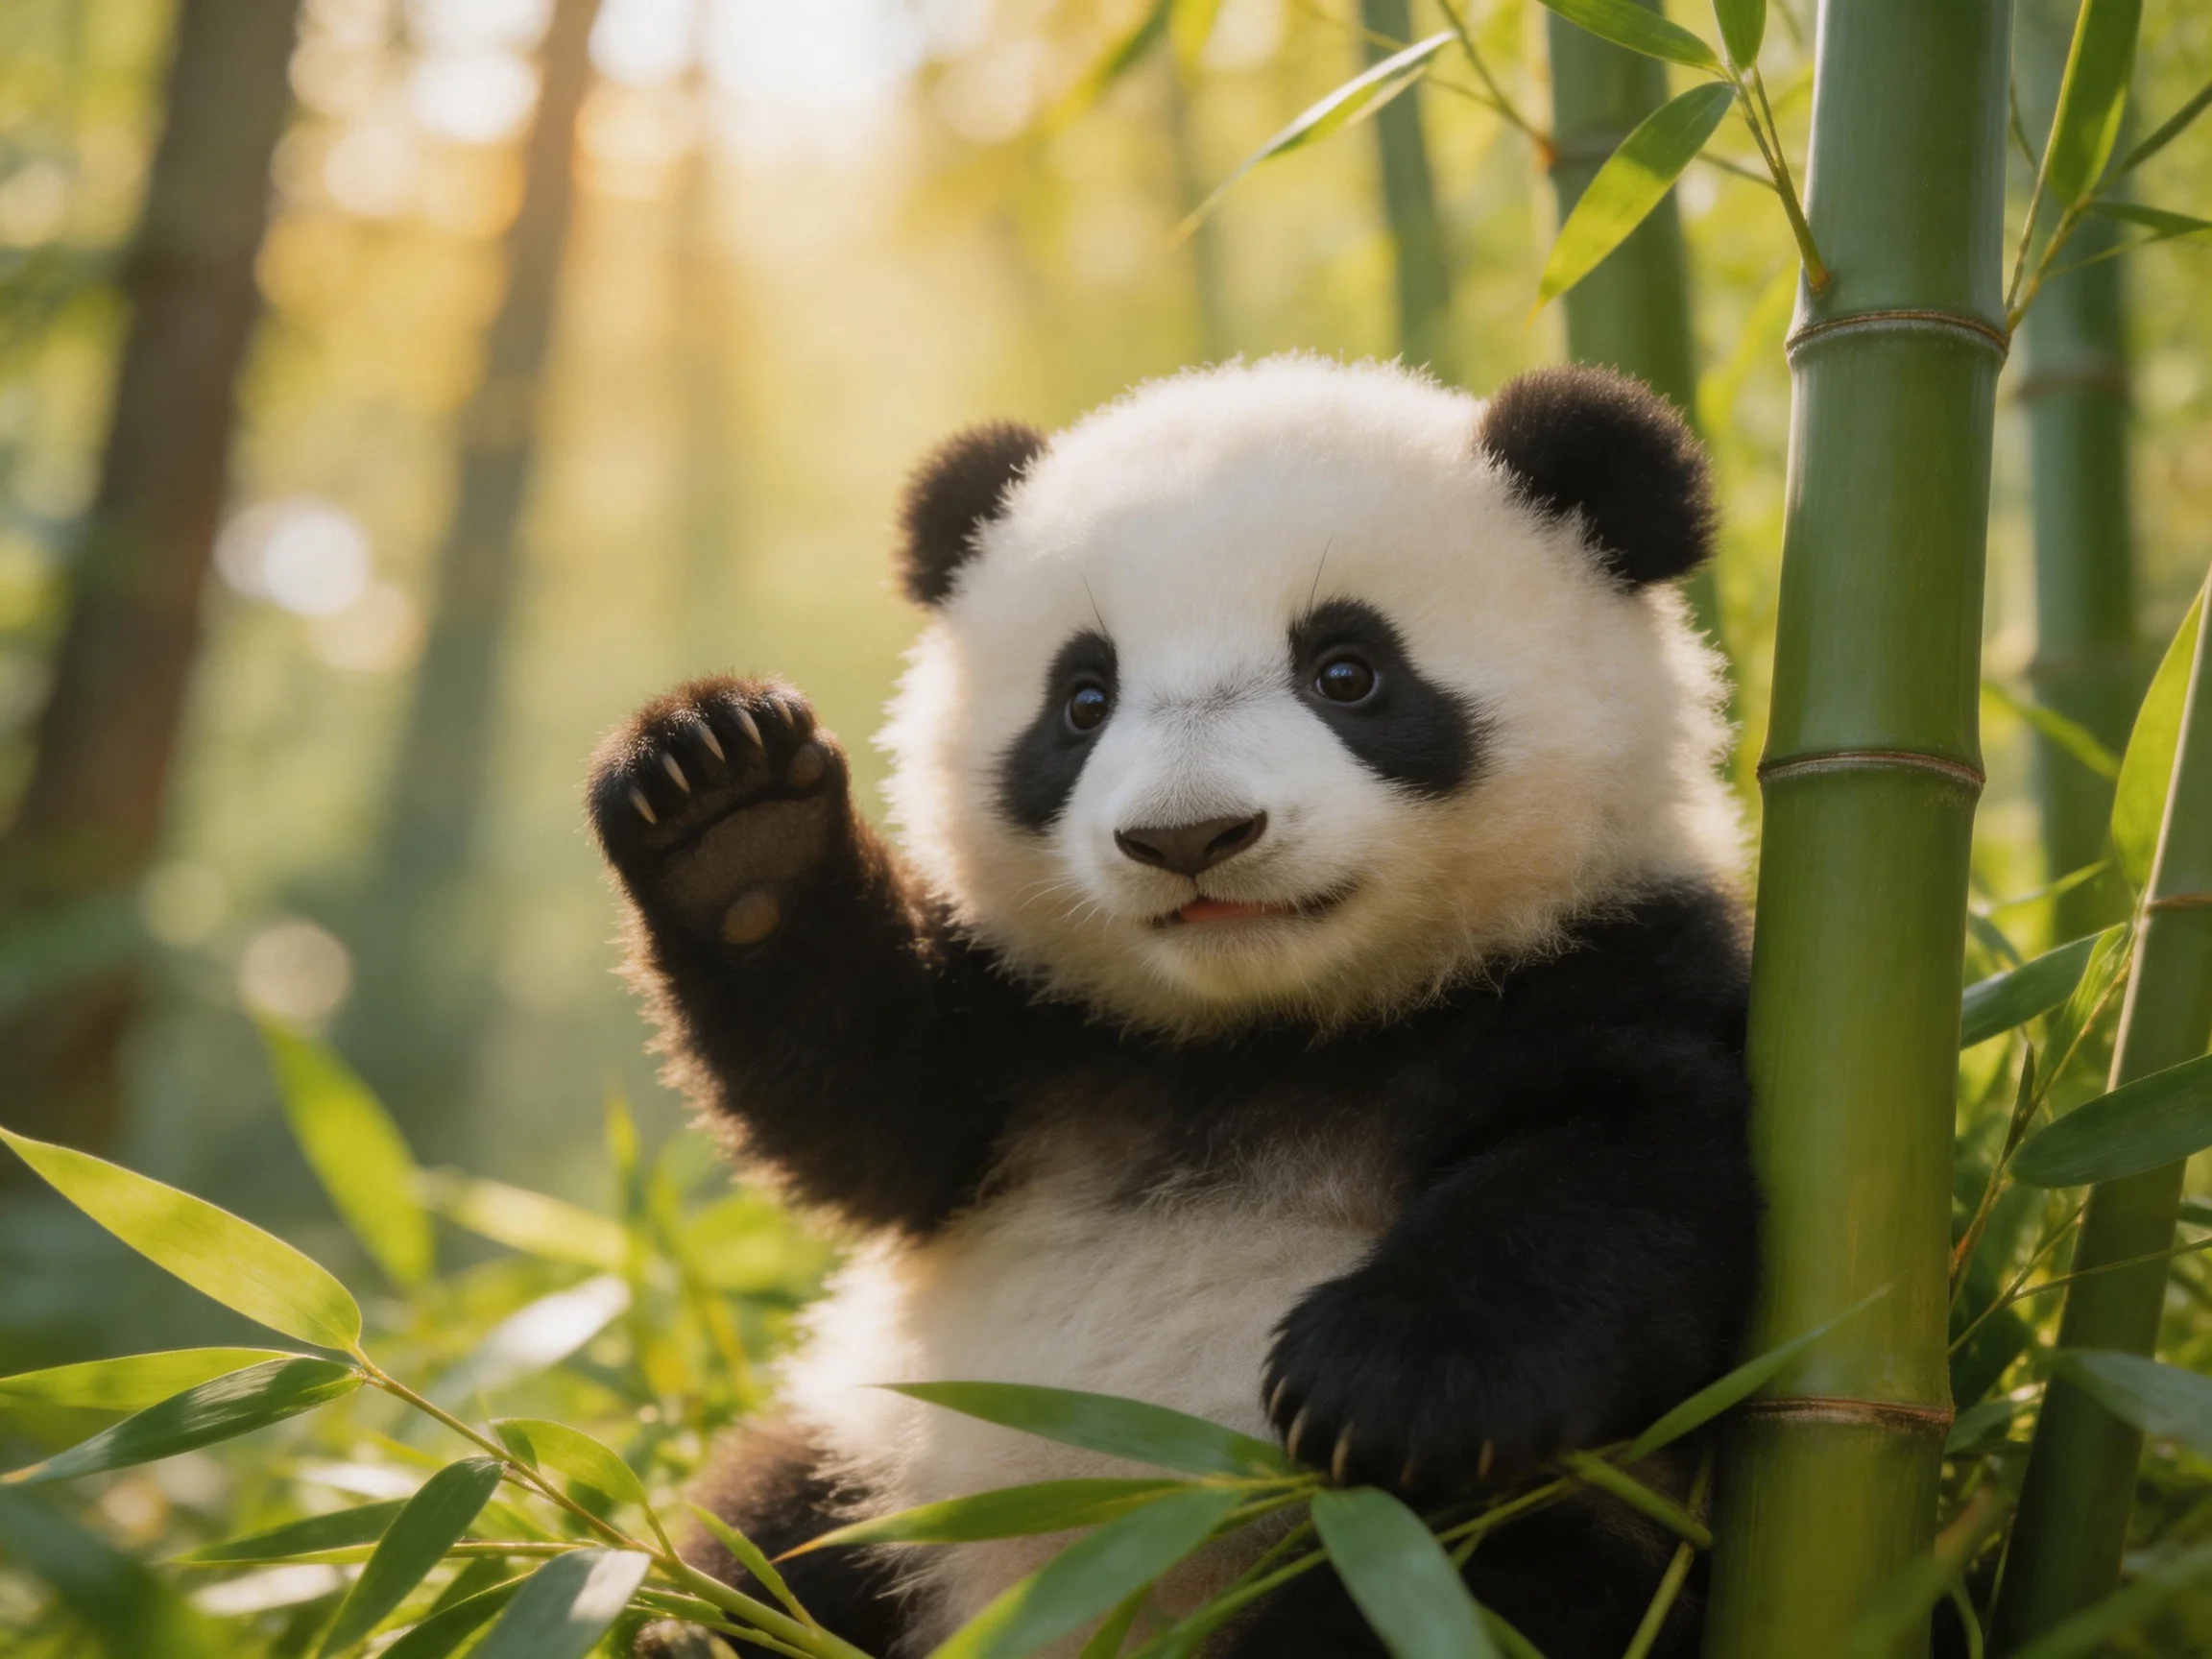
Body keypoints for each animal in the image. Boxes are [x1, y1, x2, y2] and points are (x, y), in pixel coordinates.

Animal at [588, 355, 1760, 1659]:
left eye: (1347, 672)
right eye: (1083, 698)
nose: (1188, 837)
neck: (1267, 1028)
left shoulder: (1615, 959)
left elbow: (1634, 1171)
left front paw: (1384, 1378)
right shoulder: (1033, 1029)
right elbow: (862, 1103)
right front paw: (727, 809)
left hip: (1464, 1547)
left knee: (1419, 1596)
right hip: (870, 1480)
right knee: (744, 1551)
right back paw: (680, 1629)